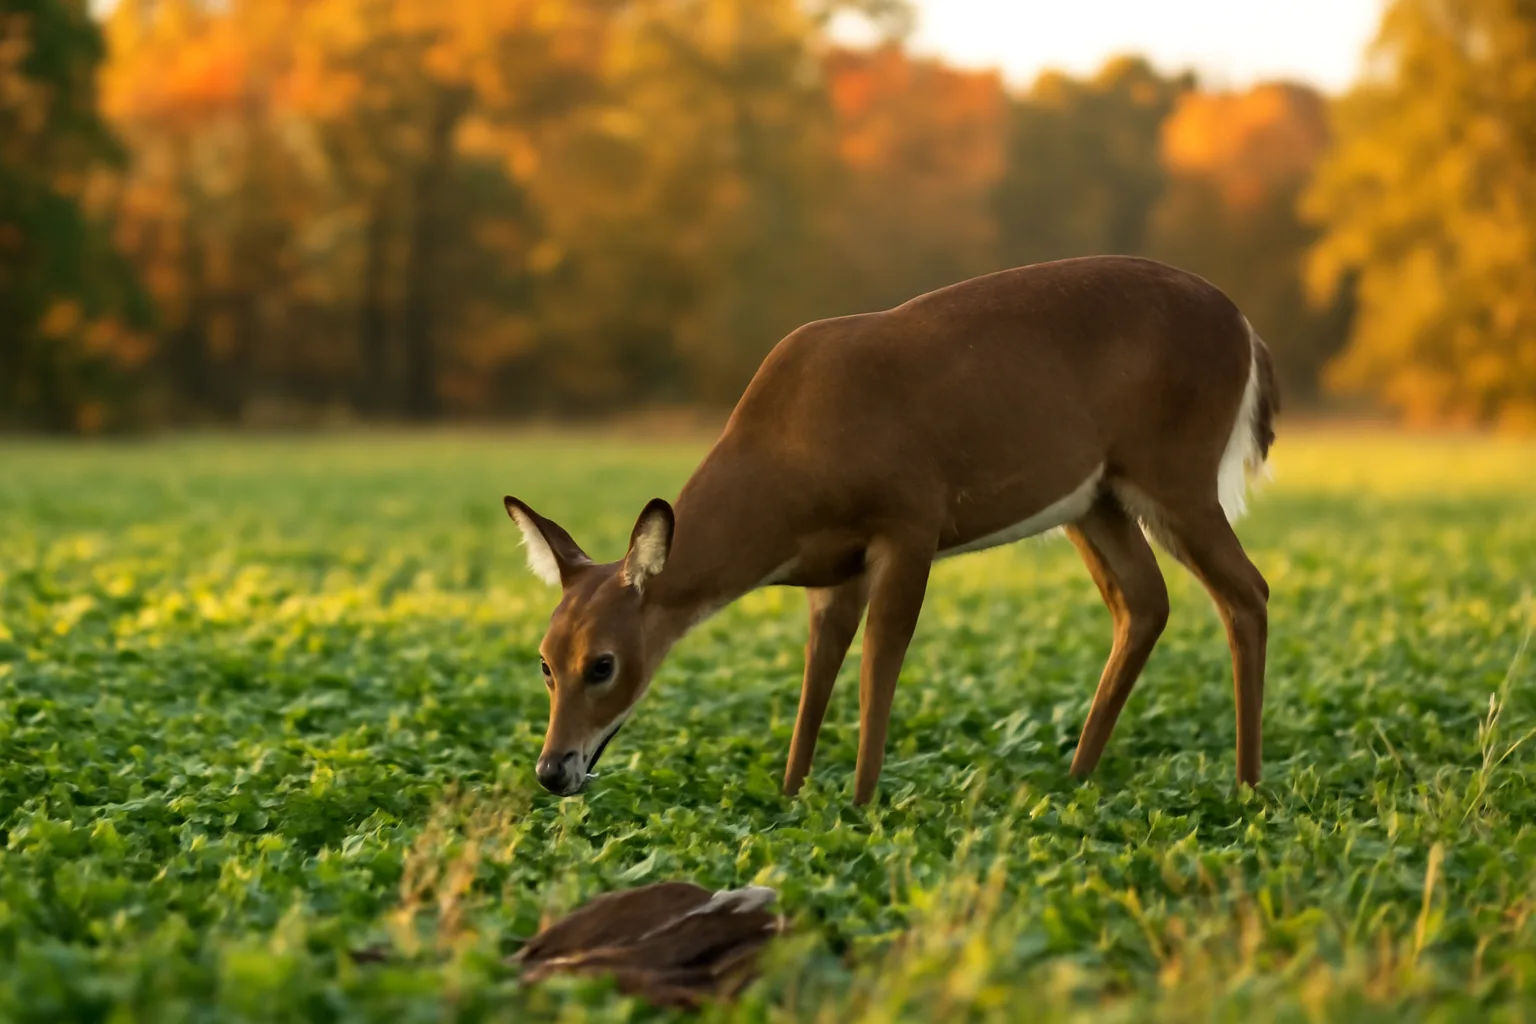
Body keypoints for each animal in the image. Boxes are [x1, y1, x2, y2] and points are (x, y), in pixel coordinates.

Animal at [504, 255, 1278, 805]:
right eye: (544, 661)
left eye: (601, 664)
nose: (551, 770)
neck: (786, 465)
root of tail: (1248, 328)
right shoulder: (834, 569)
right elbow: (820, 670)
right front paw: (791, 795)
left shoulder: (911, 521)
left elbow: (883, 658)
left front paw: (860, 803)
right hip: (1096, 500)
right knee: (1145, 602)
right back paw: (1077, 779)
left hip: (1176, 471)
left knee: (1248, 591)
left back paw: (1246, 787)